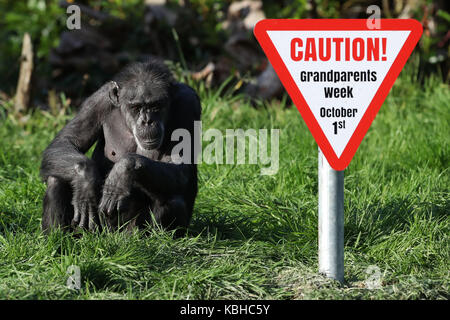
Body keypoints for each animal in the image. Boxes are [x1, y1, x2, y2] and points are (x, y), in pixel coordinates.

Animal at [40, 60, 202, 235]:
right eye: (136, 107)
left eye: (156, 105)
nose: (147, 121)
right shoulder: (98, 100)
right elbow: (67, 140)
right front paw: (85, 179)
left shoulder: (188, 103)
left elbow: (180, 164)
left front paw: (124, 169)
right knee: (56, 179)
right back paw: (59, 240)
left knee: (172, 198)